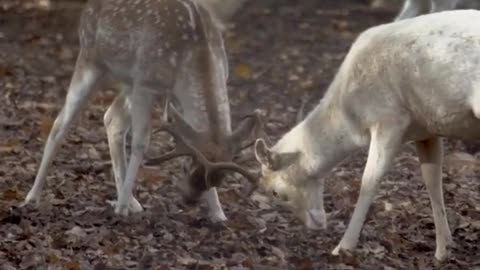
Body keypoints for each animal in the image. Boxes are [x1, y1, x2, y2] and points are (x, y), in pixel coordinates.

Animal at [20, 0, 264, 221]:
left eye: (218, 180)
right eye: (185, 167)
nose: (189, 199)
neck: (196, 52)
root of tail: (87, 9)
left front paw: (218, 214)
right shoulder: (146, 83)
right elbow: (140, 143)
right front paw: (121, 208)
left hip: (128, 82)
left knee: (111, 118)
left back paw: (131, 201)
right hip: (92, 61)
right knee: (61, 122)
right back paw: (32, 197)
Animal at [253, 10, 480, 262]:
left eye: (276, 192)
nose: (316, 225)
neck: (350, 117)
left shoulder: (388, 120)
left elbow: (369, 181)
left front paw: (342, 247)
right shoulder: (427, 129)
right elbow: (432, 179)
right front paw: (443, 250)